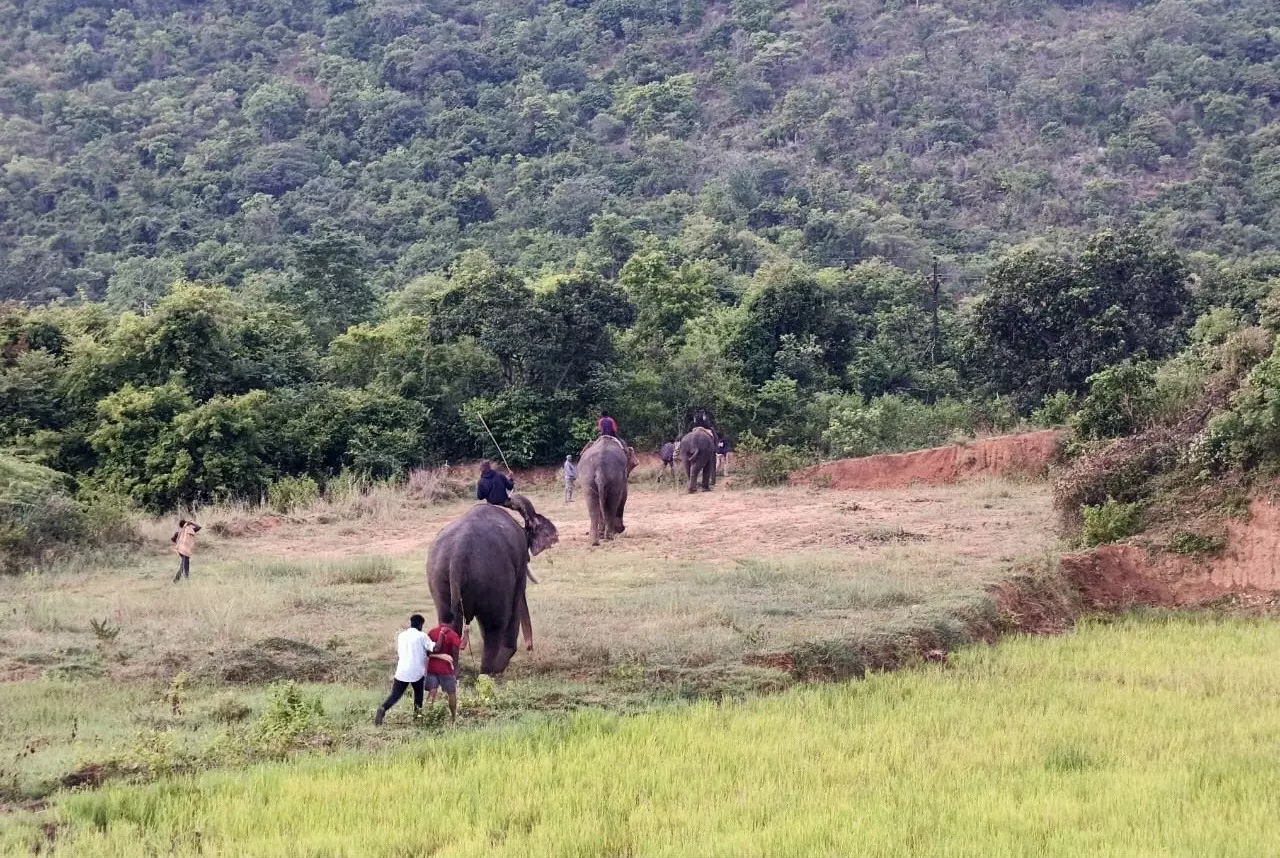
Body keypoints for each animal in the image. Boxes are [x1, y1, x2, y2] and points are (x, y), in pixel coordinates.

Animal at [427, 498, 558, 675]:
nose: (530, 649)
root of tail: (459, 553)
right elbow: (517, 600)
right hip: (492, 576)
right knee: (494, 625)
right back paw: (491, 671)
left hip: (439, 574)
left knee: (449, 622)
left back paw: (456, 674)